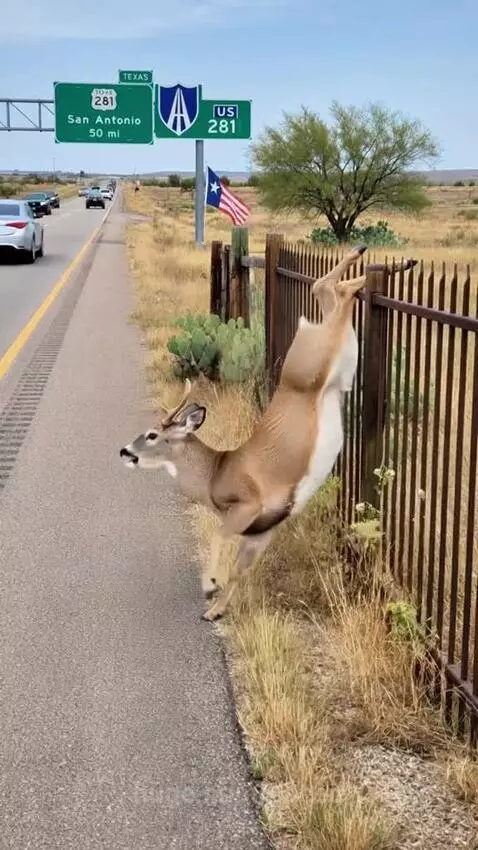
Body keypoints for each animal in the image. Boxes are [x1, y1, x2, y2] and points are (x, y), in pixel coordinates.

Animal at [120, 245, 369, 621]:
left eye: (151, 435)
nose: (124, 451)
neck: (213, 477)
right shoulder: (261, 531)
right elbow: (241, 570)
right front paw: (216, 610)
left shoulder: (248, 504)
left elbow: (219, 538)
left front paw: (209, 586)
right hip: (340, 366)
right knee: (329, 293)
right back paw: (376, 266)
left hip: (311, 361)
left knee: (327, 291)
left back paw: (366, 261)